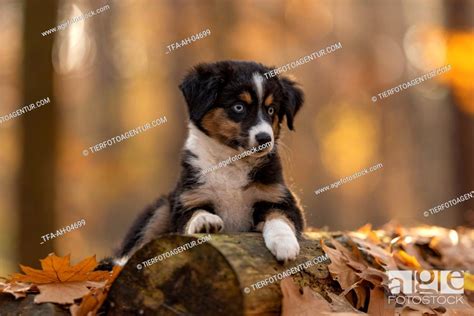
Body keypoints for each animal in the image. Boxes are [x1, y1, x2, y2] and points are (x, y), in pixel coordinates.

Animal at [115, 59, 308, 264]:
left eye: (271, 110)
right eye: (238, 107)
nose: (265, 139)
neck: (230, 160)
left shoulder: (279, 198)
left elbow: (279, 218)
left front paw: (284, 244)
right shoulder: (188, 199)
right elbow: (193, 214)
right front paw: (204, 221)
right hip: (161, 207)